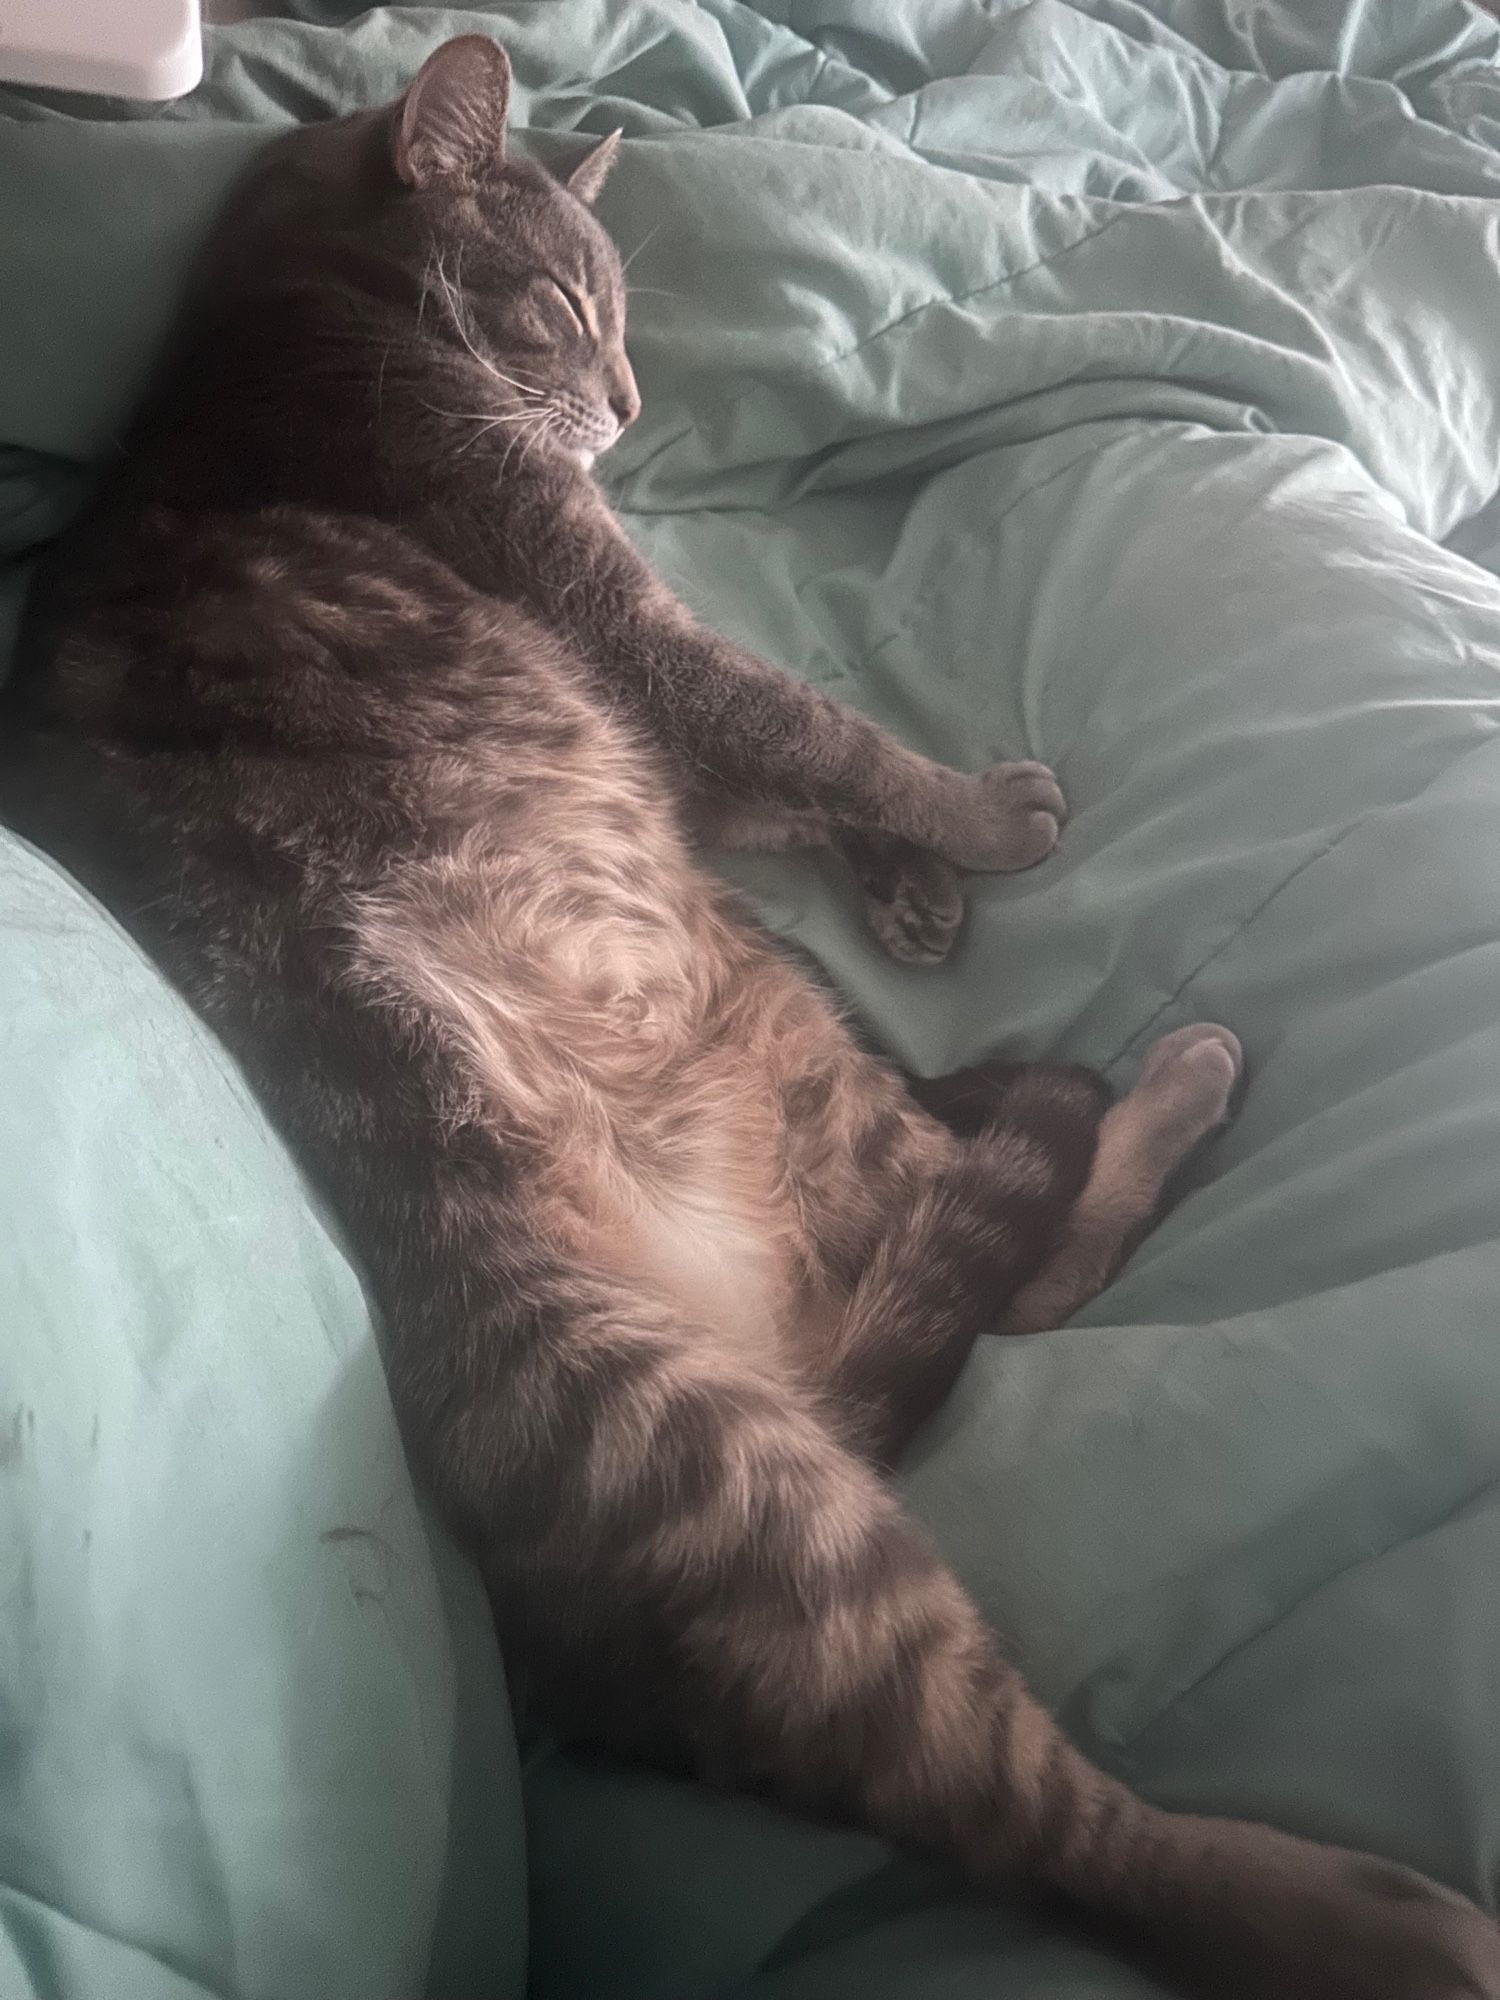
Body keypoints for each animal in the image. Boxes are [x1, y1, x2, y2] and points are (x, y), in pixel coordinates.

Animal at [5, 31, 1496, 2000]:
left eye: (624, 311)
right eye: (571, 302)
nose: (630, 402)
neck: (287, 328)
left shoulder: (655, 727)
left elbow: (789, 780)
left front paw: (918, 878)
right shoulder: (608, 624)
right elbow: (809, 725)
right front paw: (979, 819)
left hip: (795, 1034)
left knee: (1018, 1262)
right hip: (727, 1483)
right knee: (1044, 1821)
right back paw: (1375, 1915)